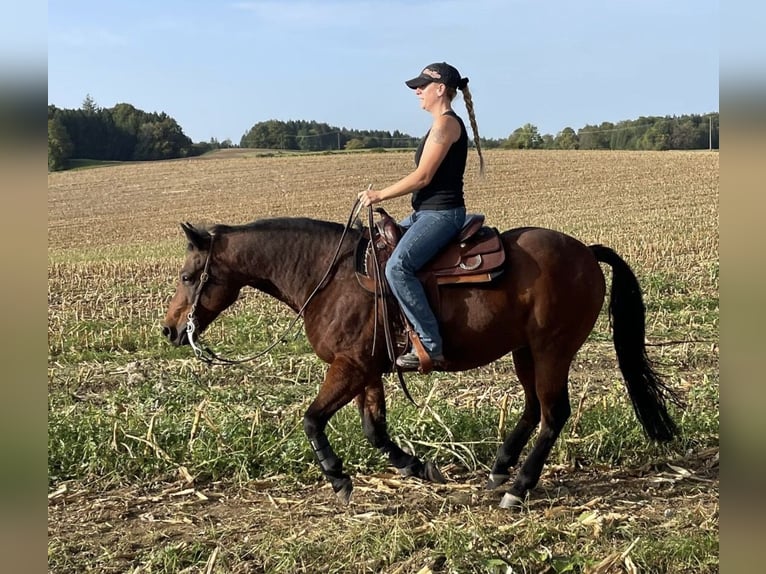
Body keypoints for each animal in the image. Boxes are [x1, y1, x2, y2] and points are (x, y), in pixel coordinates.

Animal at [161, 215, 679, 509]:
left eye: (188, 276)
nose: (169, 331)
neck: (327, 278)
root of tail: (585, 252)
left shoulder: (348, 367)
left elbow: (311, 420)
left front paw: (338, 479)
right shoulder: (365, 370)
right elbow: (374, 429)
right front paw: (415, 467)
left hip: (553, 349)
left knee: (554, 414)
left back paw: (519, 486)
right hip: (525, 351)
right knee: (534, 409)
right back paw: (500, 469)